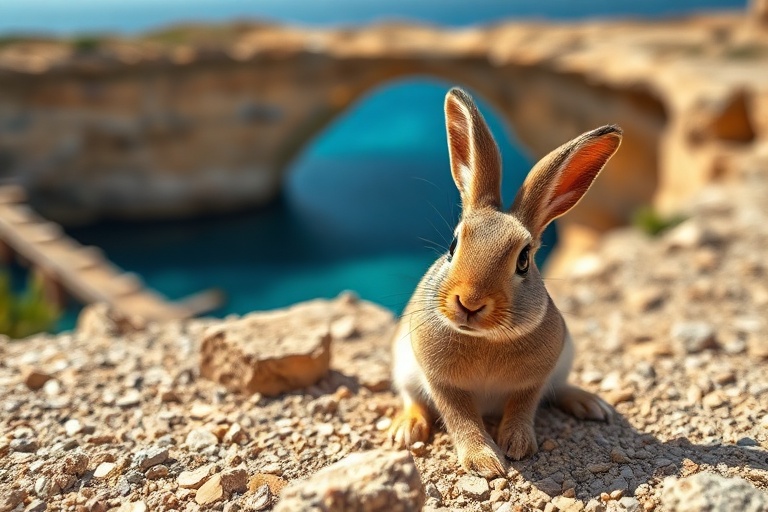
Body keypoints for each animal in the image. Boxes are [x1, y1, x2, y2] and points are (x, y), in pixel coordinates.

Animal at [388, 87, 621, 478]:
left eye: (524, 260)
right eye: (452, 246)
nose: (469, 302)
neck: (485, 339)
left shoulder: (534, 379)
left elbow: (523, 406)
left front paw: (518, 445)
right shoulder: (442, 382)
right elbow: (461, 418)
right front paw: (485, 462)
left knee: (559, 390)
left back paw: (591, 405)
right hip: (403, 366)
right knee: (411, 399)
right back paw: (406, 429)